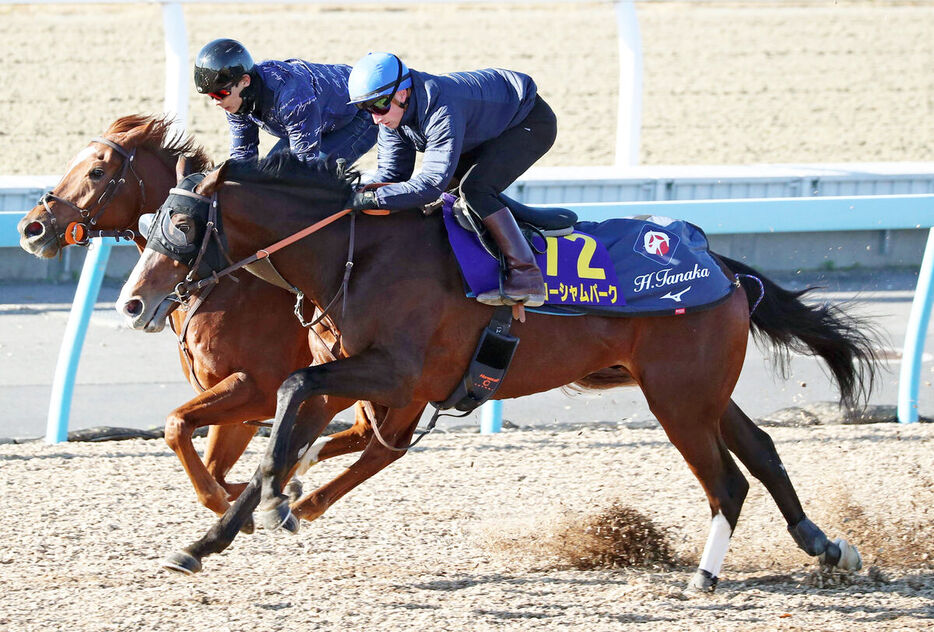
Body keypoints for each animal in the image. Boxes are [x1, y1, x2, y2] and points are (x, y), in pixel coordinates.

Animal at [15, 116, 380, 524]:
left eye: (96, 171)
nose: (31, 229)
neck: (224, 284)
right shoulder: (230, 399)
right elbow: (214, 466)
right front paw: (242, 503)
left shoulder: (259, 388)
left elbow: (177, 427)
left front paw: (232, 504)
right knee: (364, 434)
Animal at [117, 156, 876, 592]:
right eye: (153, 220)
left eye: (180, 225)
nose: (133, 301)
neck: (355, 254)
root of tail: (721, 265)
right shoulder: (351, 374)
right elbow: (283, 439)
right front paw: (210, 539)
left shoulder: (393, 376)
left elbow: (292, 402)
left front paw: (276, 504)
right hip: (699, 392)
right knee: (764, 452)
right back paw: (826, 545)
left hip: (679, 401)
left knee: (728, 482)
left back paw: (704, 577)